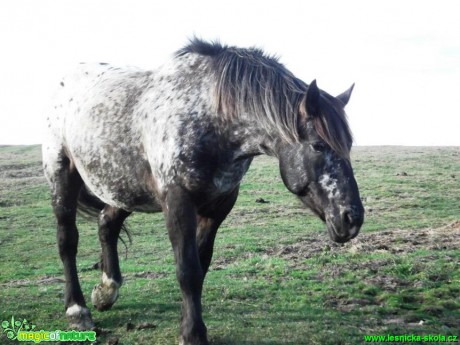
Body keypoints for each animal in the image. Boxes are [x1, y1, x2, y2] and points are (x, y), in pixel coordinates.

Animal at [44, 38, 366, 344]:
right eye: (319, 145)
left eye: (348, 145)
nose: (352, 218)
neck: (210, 119)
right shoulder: (178, 202)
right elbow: (187, 269)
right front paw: (192, 334)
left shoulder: (218, 207)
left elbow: (200, 266)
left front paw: (188, 324)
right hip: (62, 177)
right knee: (67, 241)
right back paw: (77, 310)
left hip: (124, 186)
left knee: (106, 225)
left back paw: (106, 291)